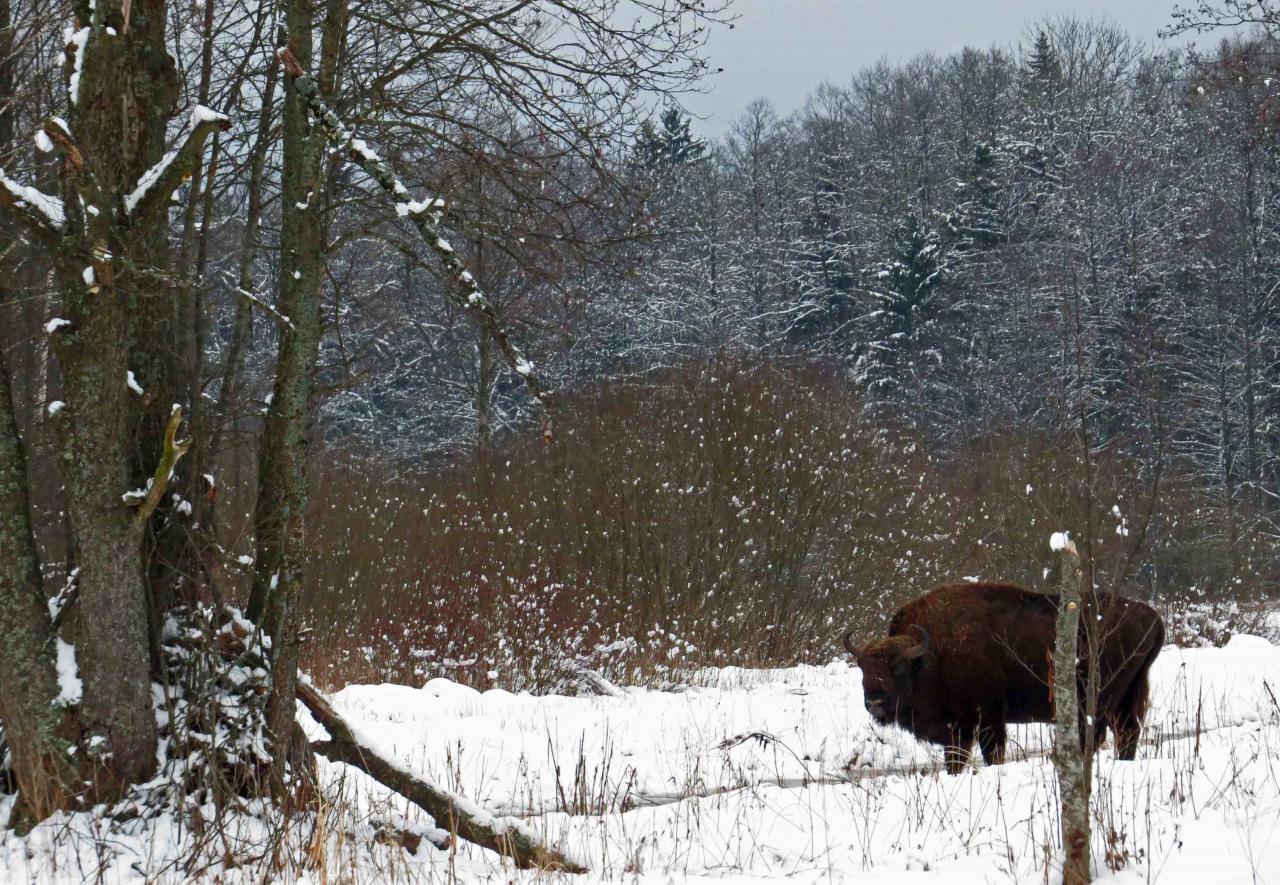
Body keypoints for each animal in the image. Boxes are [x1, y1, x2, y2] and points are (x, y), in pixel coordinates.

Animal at [844, 581, 1167, 768]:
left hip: (1101, 699)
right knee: (1128, 732)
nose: (874, 703)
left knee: (1100, 733)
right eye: (863, 668)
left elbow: (991, 753)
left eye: (898, 667)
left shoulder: (987, 718)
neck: (931, 654)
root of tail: (1152, 616)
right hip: (1127, 697)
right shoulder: (958, 729)